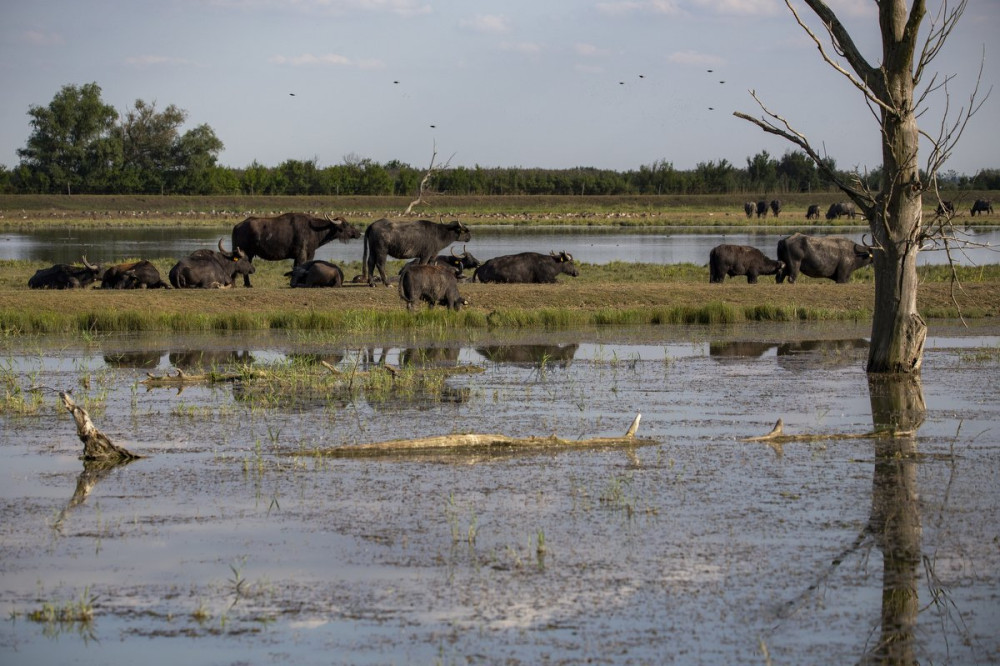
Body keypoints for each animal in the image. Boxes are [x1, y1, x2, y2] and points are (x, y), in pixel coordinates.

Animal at [232, 213, 362, 286]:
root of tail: (237, 226)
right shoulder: (302, 255)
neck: (313, 230)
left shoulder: (304, 256)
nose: (358, 233)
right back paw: (248, 284)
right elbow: (299, 267)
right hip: (246, 253)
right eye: (346, 224)